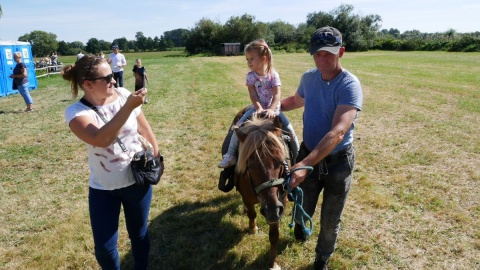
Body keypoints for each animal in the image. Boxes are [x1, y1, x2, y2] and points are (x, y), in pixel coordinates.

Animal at [232, 114, 288, 270]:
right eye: (250, 166)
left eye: (281, 161)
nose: (271, 210)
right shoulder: (247, 197)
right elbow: (252, 213)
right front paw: (252, 229)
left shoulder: (280, 202)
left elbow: (274, 234)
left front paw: (273, 263)